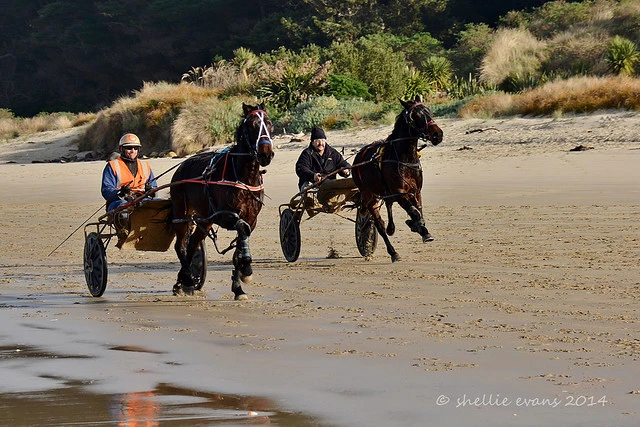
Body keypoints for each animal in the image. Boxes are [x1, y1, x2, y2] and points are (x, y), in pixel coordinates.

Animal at [169, 102, 274, 300]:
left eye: (269, 124)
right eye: (252, 125)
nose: (266, 153)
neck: (244, 177)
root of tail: (182, 165)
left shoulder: (251, 218)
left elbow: (240, 245)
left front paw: (238, 287)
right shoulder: (224, 215)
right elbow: (242, 230)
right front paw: (246, 270)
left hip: (206, 219)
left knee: (193, 243)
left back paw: (183, 281)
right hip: (181, 212)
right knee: (181, 246)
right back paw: (187, 279)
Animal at [352, 97, 442, 262]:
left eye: (429, 111)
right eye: (416, 116)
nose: (437, 134)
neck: (404, 159)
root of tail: (359, 156)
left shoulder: (416, 191)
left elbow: (418, 211)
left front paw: (422, 230)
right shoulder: (400, 193)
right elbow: (414, 212)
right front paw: (415, 224)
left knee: (389, 206)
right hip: (369, 196)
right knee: (379, 225)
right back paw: (393, 252)